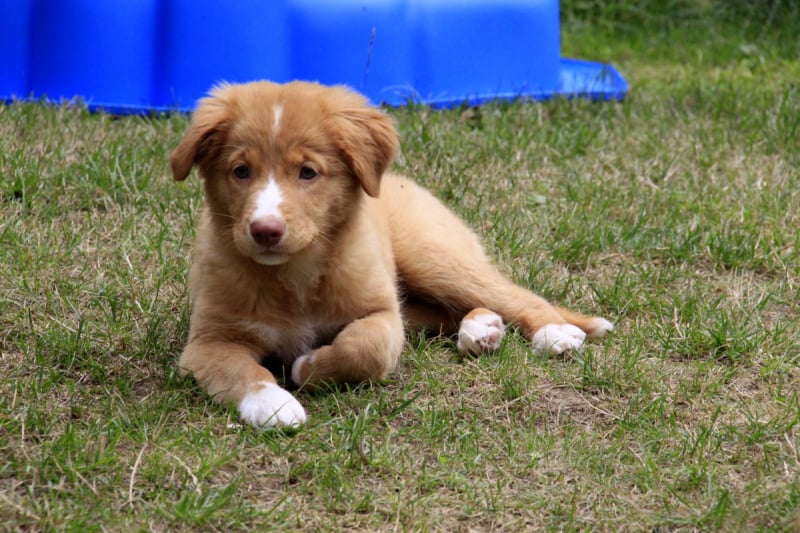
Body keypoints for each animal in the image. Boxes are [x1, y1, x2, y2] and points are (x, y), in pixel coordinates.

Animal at [170, 81, 613, 428]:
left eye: (308, 172)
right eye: (240, 171)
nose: (265, 230)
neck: (296, 275)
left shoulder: (381, 313)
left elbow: (361, 348)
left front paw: (304, 367)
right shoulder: (208, 341)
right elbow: (241, 368)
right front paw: (272, 402)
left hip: (431, 258)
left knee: (514, 295)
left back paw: (553, 332)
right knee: (453, 310)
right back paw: (481, 329)